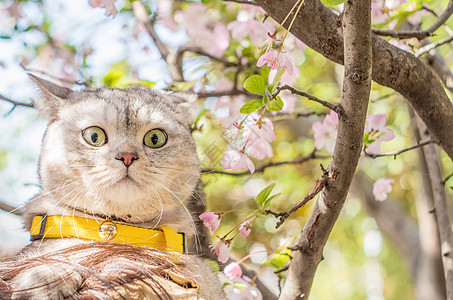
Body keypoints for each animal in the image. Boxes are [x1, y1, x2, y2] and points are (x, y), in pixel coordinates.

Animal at [0, 74, 225, 298]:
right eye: (94, 136)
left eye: (155, 138)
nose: (126, 156)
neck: (117, 228)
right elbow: (49, 260)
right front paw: (43, 279)